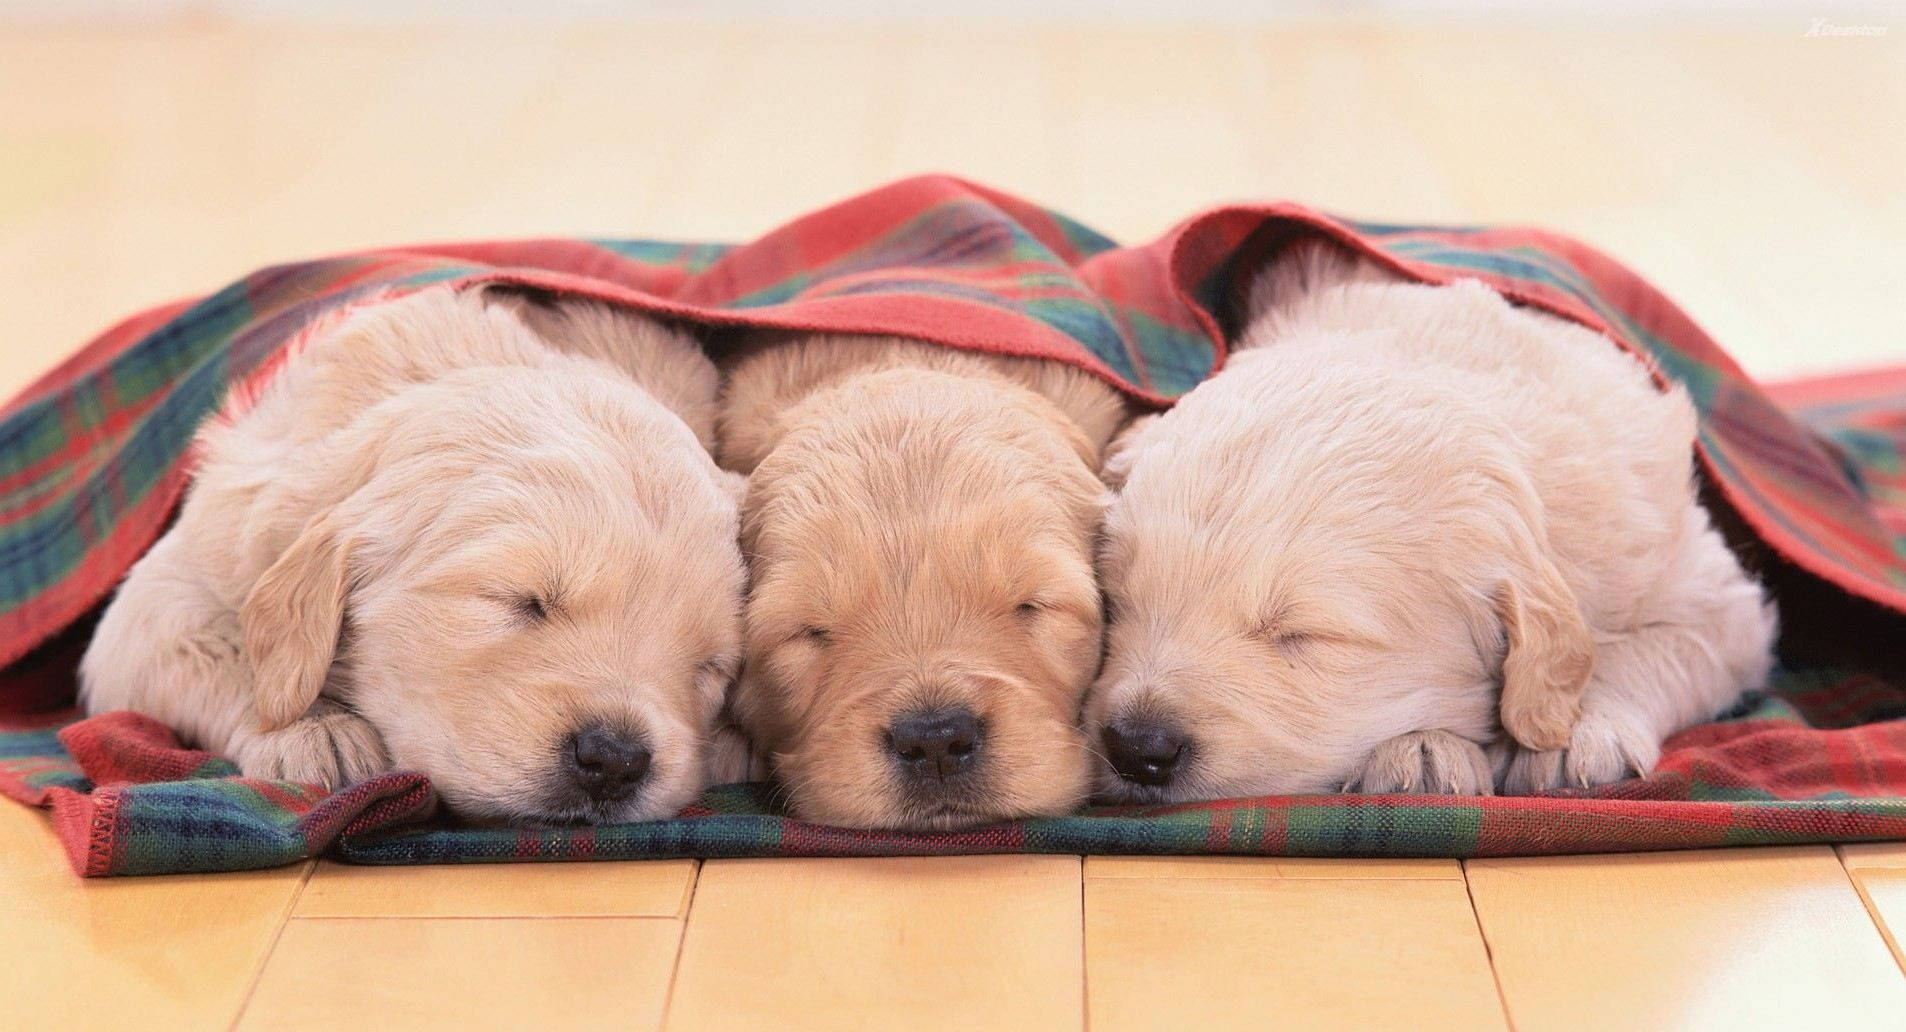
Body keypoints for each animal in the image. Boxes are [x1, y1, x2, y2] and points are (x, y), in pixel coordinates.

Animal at [85, 286, 747, 824]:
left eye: (709, 666)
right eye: (521, 602)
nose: (614, 760)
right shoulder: (157, 600)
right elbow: (229, 651)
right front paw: (318, 730)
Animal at [1082, 237, 1776, 801]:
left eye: (1302, 635)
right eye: (1117, 602)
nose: (1136, 747)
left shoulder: (1714, 598)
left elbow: (1654, 646)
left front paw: (1575, 732)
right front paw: (1421, 748)